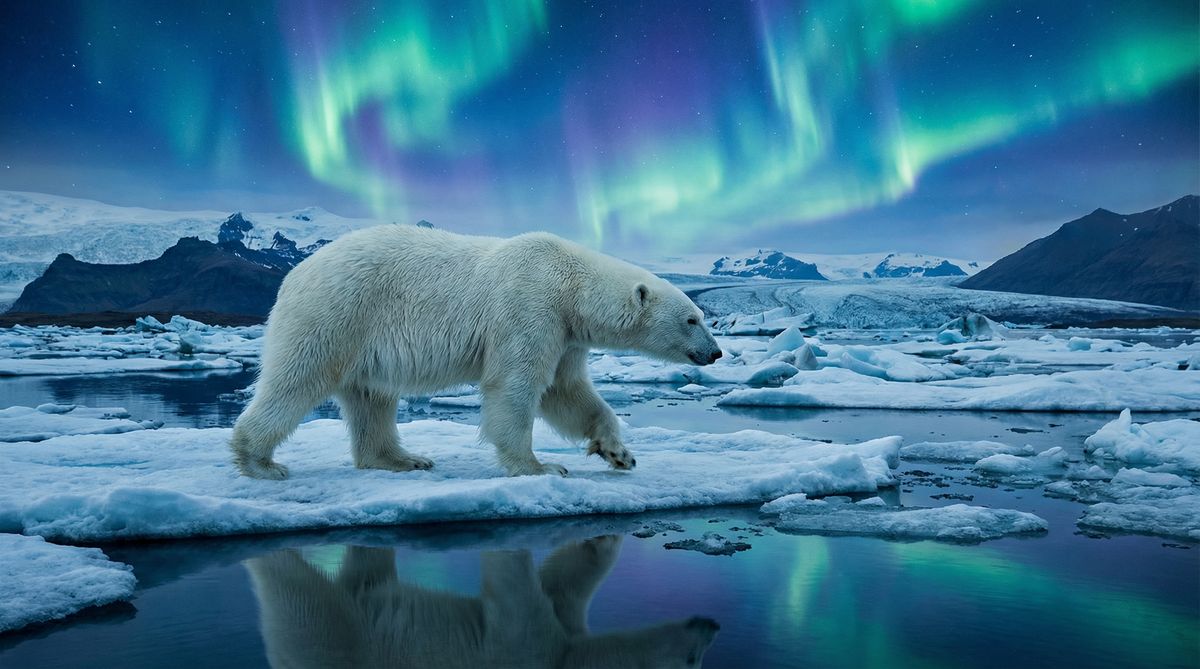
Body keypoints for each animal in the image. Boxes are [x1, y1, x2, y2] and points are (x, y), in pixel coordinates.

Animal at [230, 225, 722, 479]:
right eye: (692, 319)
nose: (716, 353)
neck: (571, 284)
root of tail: (294, 274)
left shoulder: (565, 334)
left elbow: (567, 393)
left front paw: (619, 453)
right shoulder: (530, 307)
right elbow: (516, 386)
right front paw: (540, 467)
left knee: (372, 397)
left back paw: (402, 459)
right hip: (337, 313)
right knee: (299, 378)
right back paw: (260, 461)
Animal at [245, 536, 720, 668]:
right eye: (693, 661)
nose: (712, 627)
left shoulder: (563, 626)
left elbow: (566, 585)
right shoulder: (523, 647)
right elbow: (515, 598)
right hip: (329, 640)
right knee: (302, 597)